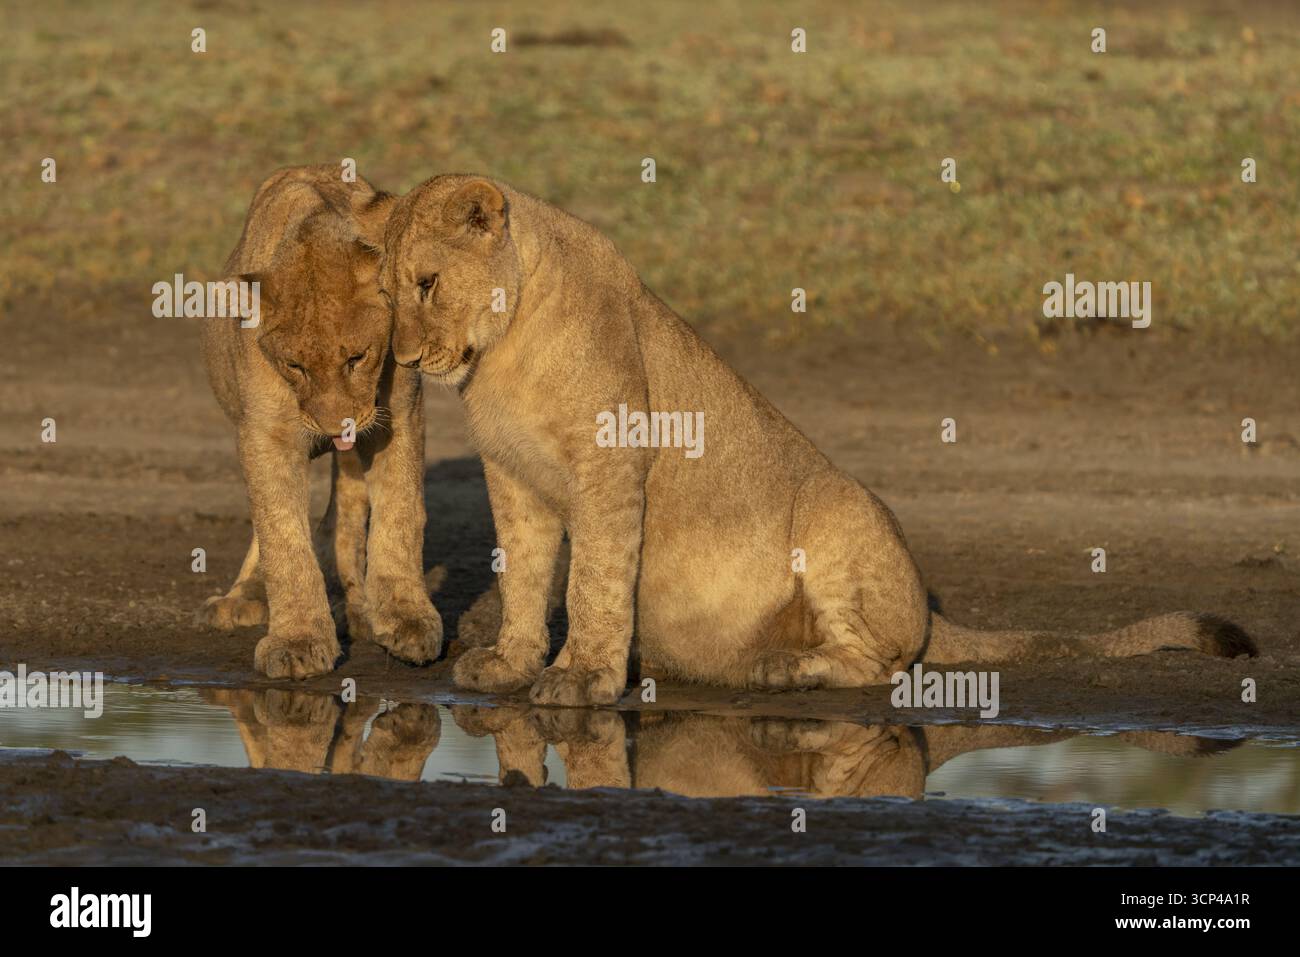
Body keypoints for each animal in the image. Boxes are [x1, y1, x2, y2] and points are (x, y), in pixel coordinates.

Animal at [200, 165, 441, 679]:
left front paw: (407, 620)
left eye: (357, 358)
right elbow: (283, 536)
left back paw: (357, 608)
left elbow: (399, 515)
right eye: (296, 366)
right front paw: (298, 641)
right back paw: (243, 598)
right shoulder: (264, 433)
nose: (336, 430)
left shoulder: (399, 415)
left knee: (345, 518)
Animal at [361, 174, 1255, 705]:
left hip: (838, 509)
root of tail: (928, 604)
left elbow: (595, 582)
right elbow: (522, 578)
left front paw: (582, 676)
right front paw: (511, 663)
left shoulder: (611, 467)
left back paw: (780, 666)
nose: (403, 359)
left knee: (882, 662)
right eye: (386, 294)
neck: (503, 353)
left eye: (427, 284)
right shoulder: (513, 479)